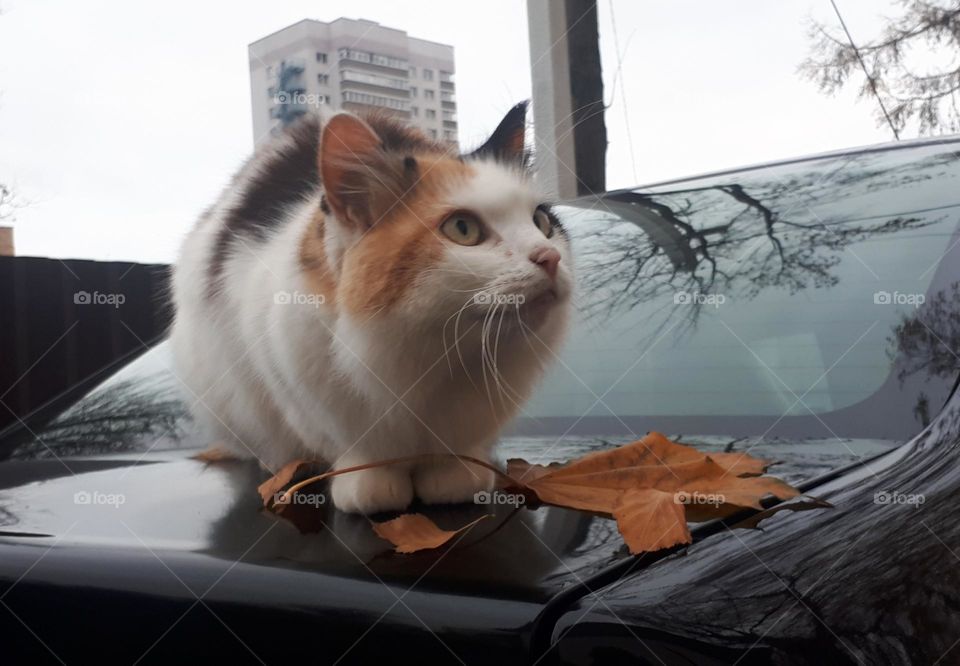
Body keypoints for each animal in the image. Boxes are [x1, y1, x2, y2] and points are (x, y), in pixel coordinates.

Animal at [170, 101, 572, 510]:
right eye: (463, 229)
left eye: (542, 221)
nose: (550, 257)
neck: (440, 357)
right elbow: (358, 452)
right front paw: (369, 485)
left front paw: (454, 475)